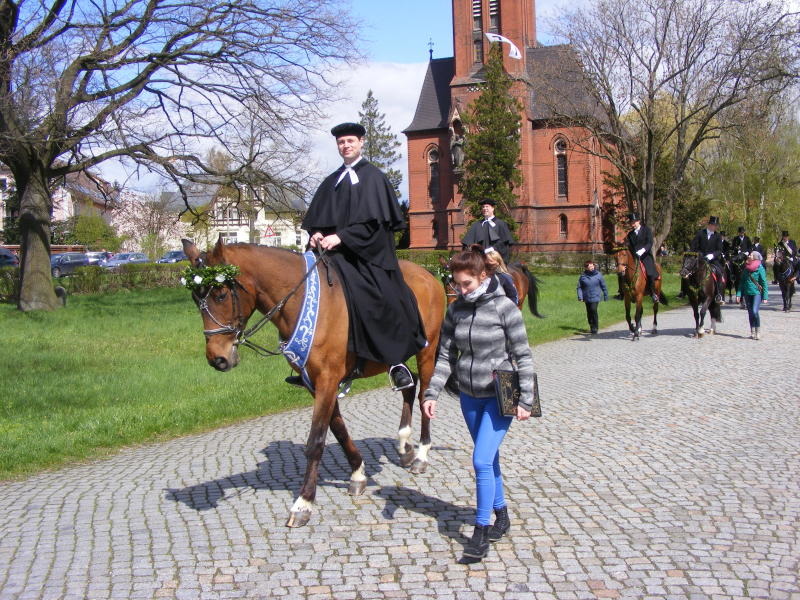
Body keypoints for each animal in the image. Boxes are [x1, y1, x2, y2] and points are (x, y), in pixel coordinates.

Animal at [181, 237, 444, 528]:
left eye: (220, 295)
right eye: (195, 298)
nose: (218, 359)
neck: (300, 301)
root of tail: (428, 276)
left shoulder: (327, 380)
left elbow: (316, 441)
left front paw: (303, 503)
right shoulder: (314, 382)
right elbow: (338, 429)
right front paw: (358, 473)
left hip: (427, 352)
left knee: (424, 396)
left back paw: (421, 455)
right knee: (409, 385)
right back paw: (405, 445)